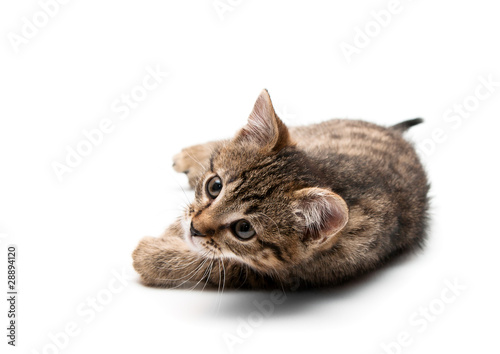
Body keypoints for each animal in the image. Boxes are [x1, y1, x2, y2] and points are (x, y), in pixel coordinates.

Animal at [133, 90, 430, 290]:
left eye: (244, 229)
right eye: (214, 186)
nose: (194, 228)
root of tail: (393, 133)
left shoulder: (286, 274)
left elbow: (216, 265)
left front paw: (151, 255)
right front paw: (174, 230)